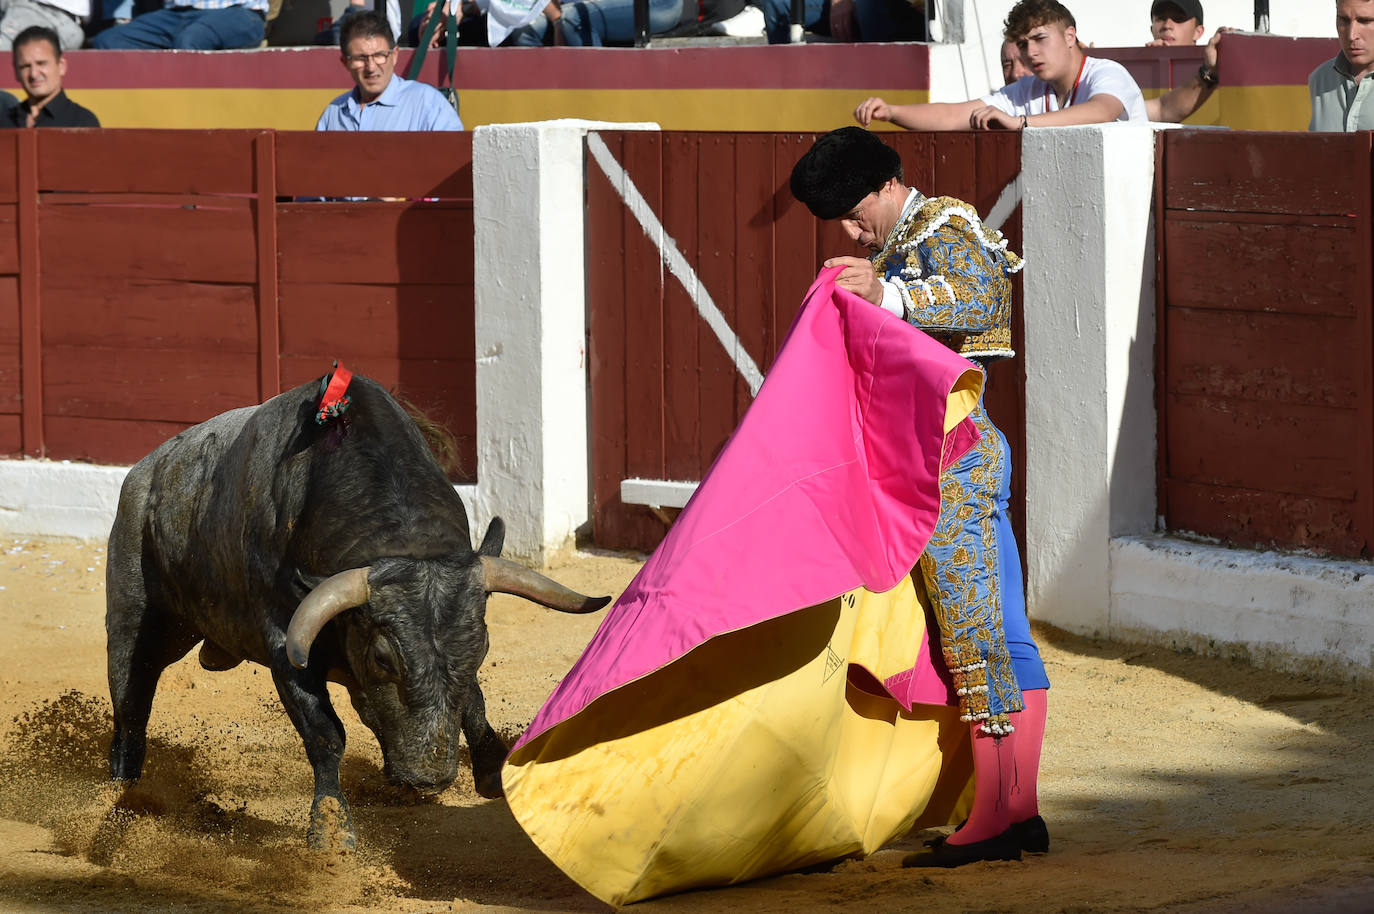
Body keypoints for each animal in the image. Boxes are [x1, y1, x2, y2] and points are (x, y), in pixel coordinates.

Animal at [109, 365, 615, 846]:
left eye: (482, 651)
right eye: (382, 658)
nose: (428, 778)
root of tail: (144, 472)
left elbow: (470, 699)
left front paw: (493, 771)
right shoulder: (284, 644)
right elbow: (325, 733)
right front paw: (330, 830)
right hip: (136, 621)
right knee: (131, 704)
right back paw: (119, 798)